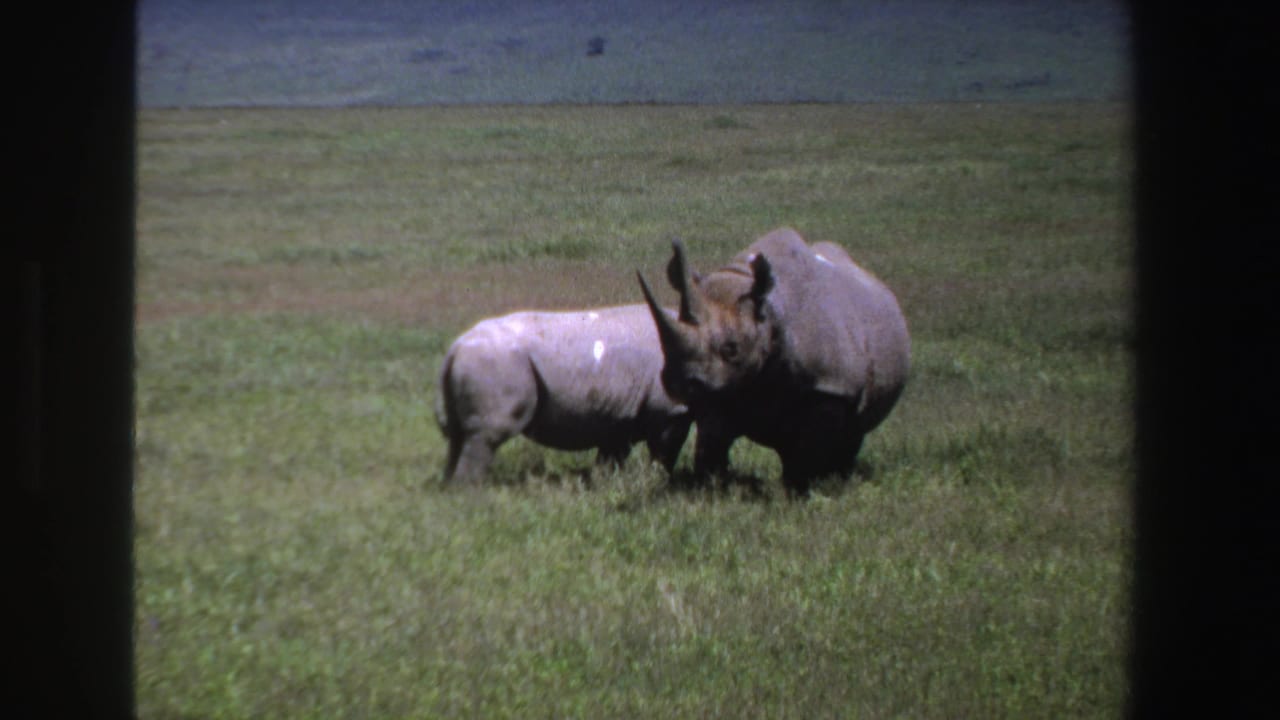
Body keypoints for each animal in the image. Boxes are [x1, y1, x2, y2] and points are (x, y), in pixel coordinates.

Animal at [435, 305, 693, 484]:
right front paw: (658, 480)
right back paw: (472, 494)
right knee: (486, 435)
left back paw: (451, 489)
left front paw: (604, 484)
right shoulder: (671, 410)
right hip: (495, 362)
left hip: (481, 361)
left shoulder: (620, 416)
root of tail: (455, 347)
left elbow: (612, 457)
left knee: (458, 435)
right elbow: (665, 452)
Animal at [637, 227, 910, 495]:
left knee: (851, 431)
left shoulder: (831, 385)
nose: (678, 384)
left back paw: (834, 479)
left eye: (732, 349)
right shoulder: (718, 386)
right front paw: (712, 487)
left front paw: (805, 491)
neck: (768, 314)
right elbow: (712, 439)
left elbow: (815, 444)